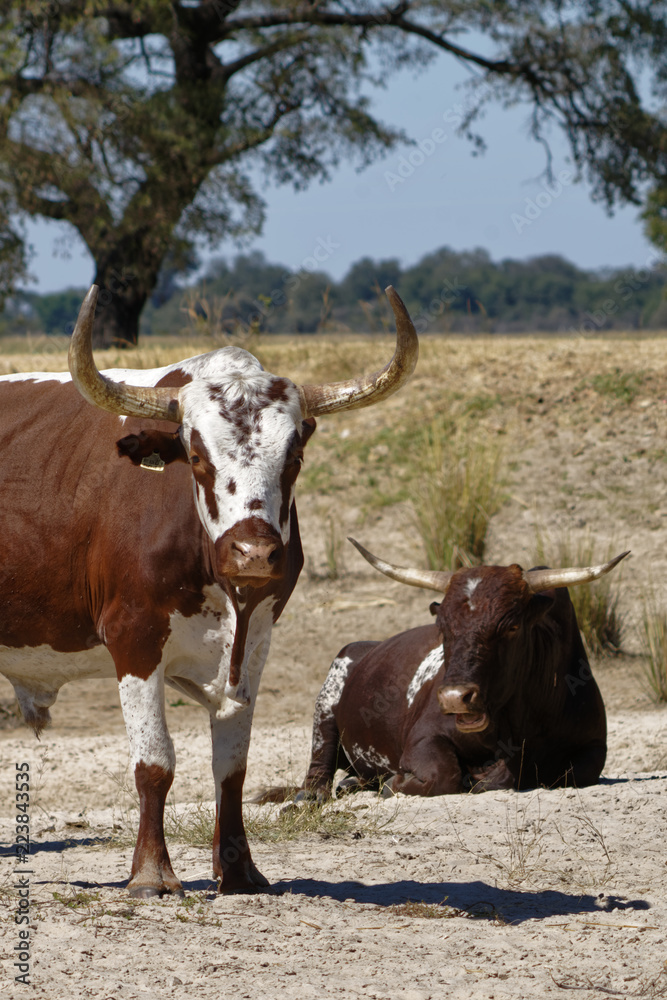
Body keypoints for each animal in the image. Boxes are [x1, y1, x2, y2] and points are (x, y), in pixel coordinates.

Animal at [0, 286, 417, 896]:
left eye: (294, 457)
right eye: (196, 458)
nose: (254, 554)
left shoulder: (256, 642)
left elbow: (232, 764)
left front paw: (239, 870)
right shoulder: (134, 637)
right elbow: (155, 761)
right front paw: (151, 873)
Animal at [288, 539, 628, 801]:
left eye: (512, 627)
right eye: (442, 627)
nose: (454, 697)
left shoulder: (594, 748)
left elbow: (568, 772)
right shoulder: (423, 738)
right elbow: (444, 774)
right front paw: (393, 783)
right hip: (326, 704)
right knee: (318, 767)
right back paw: (314, 795)